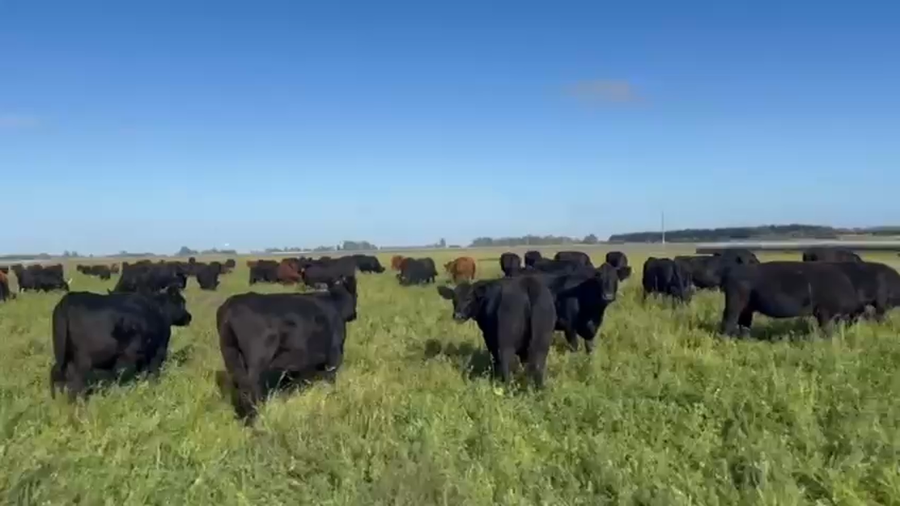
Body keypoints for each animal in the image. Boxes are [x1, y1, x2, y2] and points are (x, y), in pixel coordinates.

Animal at [49, 285, 193, 400]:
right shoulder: (158, 352)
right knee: (75, 383)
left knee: (58, 375)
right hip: (83, 360)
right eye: (182, 301)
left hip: (63, 356)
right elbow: (153, 373)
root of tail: (68, 300)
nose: (189, 316)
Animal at [217, 275, 358, 420]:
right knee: (250, 389)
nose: (355, 314)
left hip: (231, 357)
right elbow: (330, 379)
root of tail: (232, 305)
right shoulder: (334, 355)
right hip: (255, 363)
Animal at [720, 261, 863, 337]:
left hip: (748, 307)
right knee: (729, 319)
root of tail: (730, 272)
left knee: (744, 323)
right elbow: (826, 328)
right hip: (734, 302)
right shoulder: (824, 311)